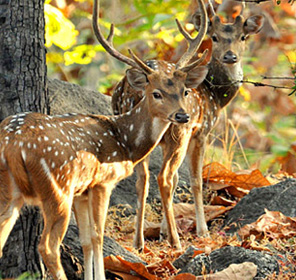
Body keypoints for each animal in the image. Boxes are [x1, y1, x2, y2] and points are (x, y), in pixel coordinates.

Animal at [0, 0, 208, 278]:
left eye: (184, 91)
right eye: (156, 93)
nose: (182, 115)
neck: (125, 142)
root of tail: (13, 144)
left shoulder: (82, 191)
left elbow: (87, 240)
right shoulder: (103, 182)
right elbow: (98, 236)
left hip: (10, 189)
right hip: (57, 188)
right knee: (48, 247)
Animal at [111, 1, 264, 249]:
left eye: (243, 37)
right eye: (214, 37)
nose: (230, 56)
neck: (214, 96)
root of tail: (130, 89)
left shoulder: (163, 141)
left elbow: (174, 182)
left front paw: (162, 231)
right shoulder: (201, 132)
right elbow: (195, 180)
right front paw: (201, 231)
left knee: (143, 180)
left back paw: (139, 241)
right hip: (179, 130)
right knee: (162, 177)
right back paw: (176, 242)